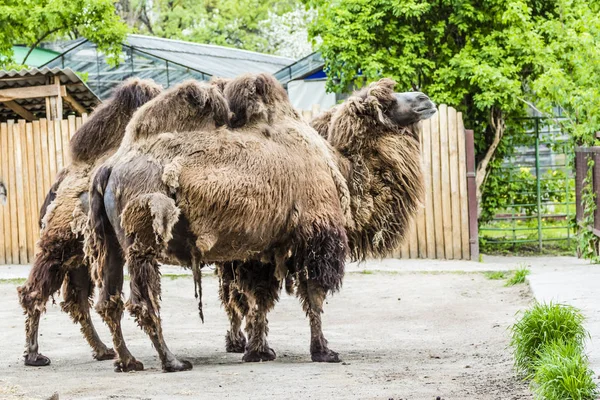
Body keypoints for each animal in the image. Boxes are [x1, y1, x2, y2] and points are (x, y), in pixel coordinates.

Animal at [16, 79, 162, 368]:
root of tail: (63, 179)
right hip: (61, 245)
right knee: (37, 292)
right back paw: (35, 355)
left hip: (81, 252)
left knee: (77, 298)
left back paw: (104, 350)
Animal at [88, 72, 436, 376]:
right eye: (386, 102)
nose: (425, 99)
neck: (342, 169)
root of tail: (109, 168)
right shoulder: (316, 231)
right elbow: (314, 295)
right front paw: (323, 351)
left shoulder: (260, 249)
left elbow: (259, 298)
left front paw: (258, 351)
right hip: (143, 239)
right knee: (142, 301)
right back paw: (171, 361)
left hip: (111, 243)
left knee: (108, 301)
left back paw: (127, 361)